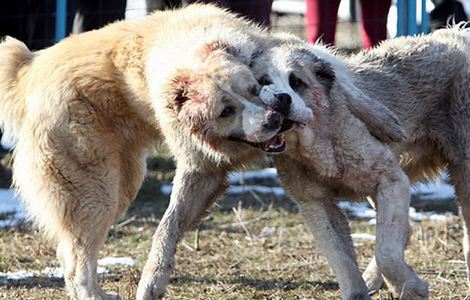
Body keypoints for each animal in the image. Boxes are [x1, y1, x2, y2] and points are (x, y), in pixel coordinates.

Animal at [258, 26, 470, 300]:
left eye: (297, 82)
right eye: (262, 82)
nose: (281, 99)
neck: (320, 143)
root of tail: (457, 33)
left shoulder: (391, 180)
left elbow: (386, 252)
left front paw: (411, 288)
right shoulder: (315, 204)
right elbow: (342, 260)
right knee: (404, 230)